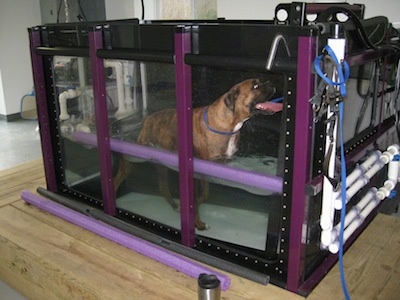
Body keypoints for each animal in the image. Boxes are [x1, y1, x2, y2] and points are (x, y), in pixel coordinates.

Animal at [112, 78, 282, 230]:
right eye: (255, 86)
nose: (272, 83)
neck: (228, 124)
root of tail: (148, 119)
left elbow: (203, 196)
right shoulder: (202, 170)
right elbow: (201, 196)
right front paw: (198, 223)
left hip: (162, 164)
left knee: (163, 187)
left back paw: (175, 206)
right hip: (133, 159)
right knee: (118, 177)